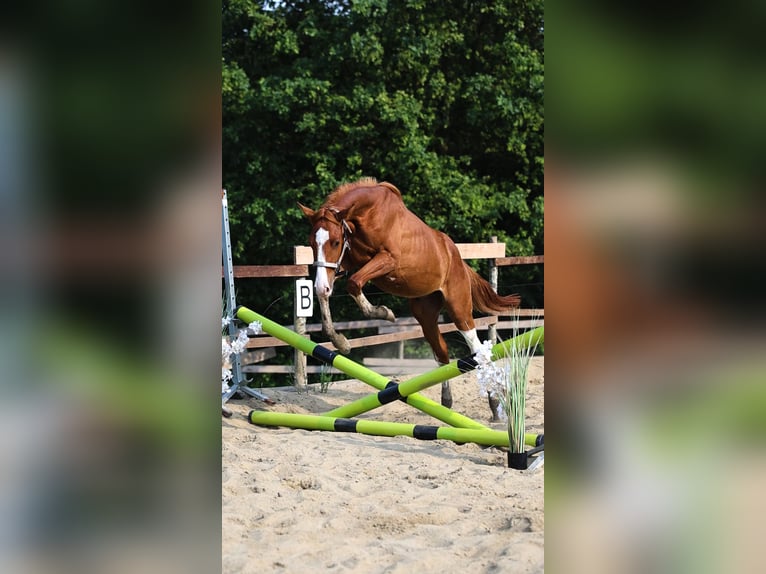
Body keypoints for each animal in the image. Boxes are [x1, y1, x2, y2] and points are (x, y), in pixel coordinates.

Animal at [298, 177, 520, 414]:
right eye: (311, 243)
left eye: (335, 242)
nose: (321, 285)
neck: (367, 215)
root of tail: (459, 261)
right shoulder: (343, 264)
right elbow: (327, 293)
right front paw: (341, 342)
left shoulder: (387, 260)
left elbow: (354, 283)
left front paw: (384, 313)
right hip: (425, 315)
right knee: (442, 353)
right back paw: (447, 401)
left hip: (459, 310)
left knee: (478, 349)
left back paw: (495, 401)